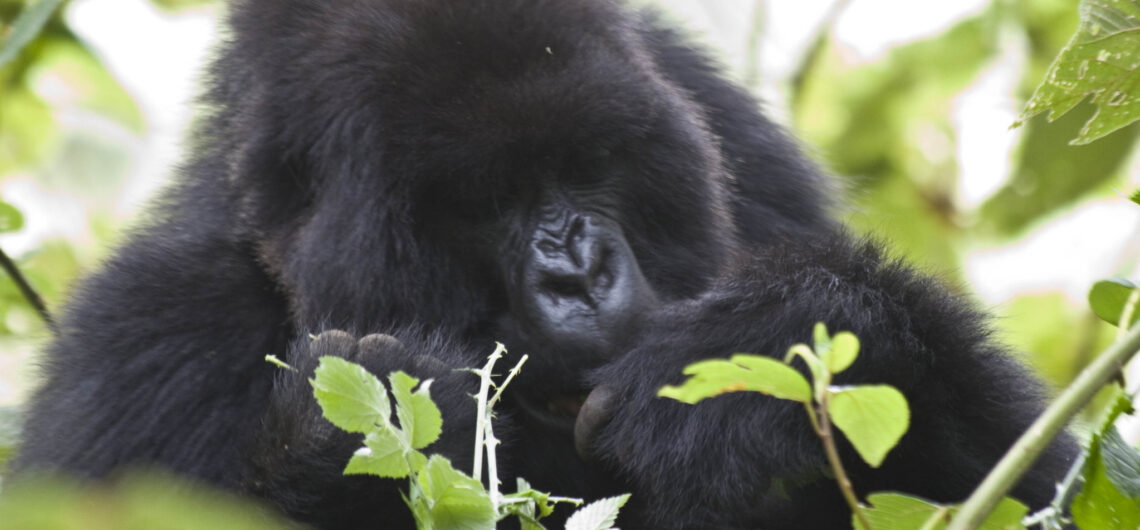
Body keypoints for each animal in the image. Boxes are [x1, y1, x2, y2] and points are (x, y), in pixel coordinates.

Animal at [13, 0, 1071, 526]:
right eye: (484, 201)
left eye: (590, 164)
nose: (579, 272)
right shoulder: (147, 343)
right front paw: (363, 440)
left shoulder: (752, 168)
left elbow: (1044, 481)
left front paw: (765, 343)